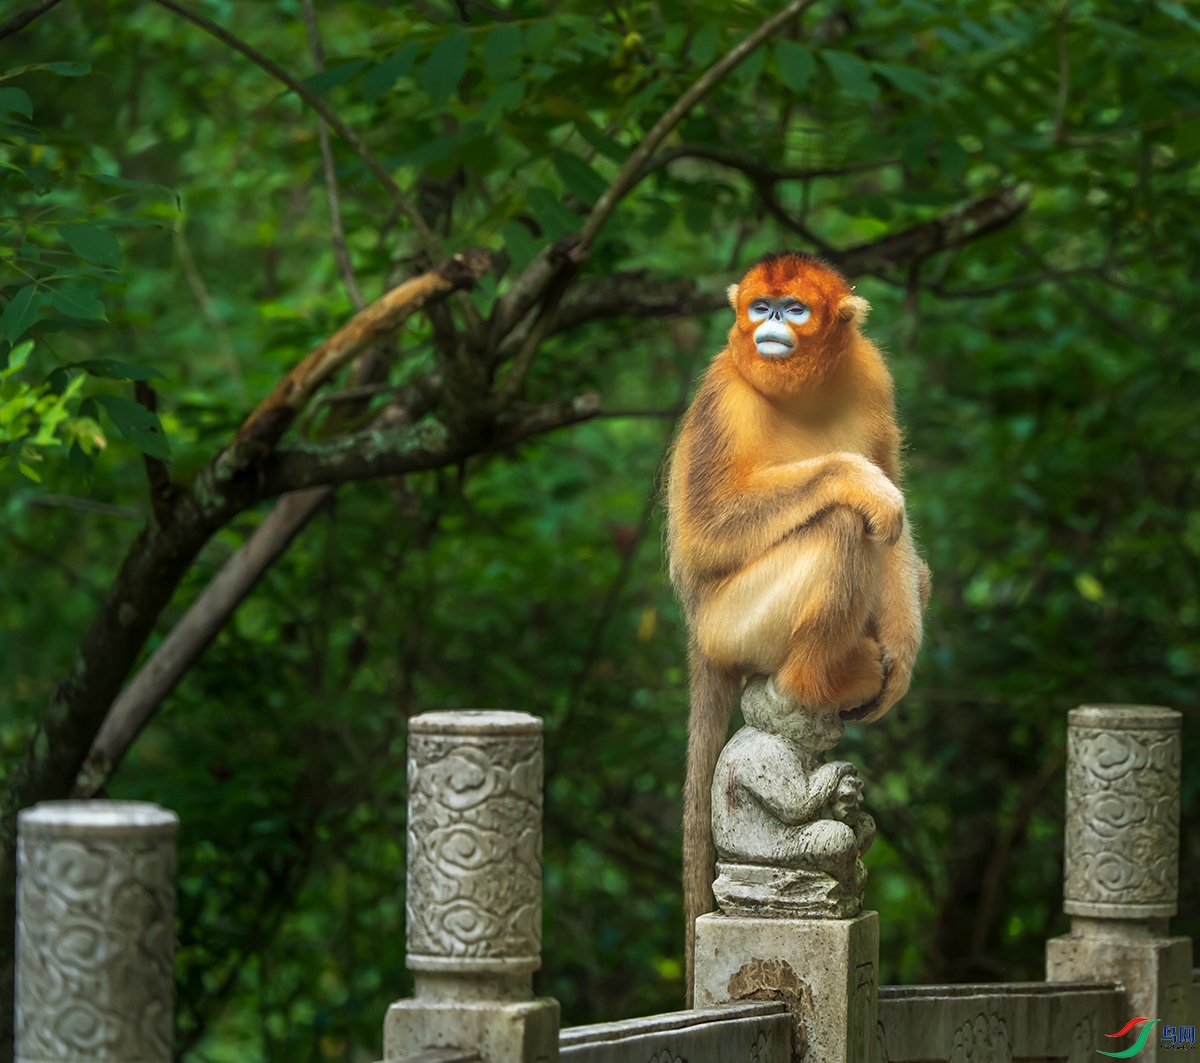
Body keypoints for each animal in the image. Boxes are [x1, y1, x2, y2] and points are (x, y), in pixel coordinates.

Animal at [667, 254, 926, 1003]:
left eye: (795, 308)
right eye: (761, 307)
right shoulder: (725, 391)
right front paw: (859, 480)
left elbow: (897, 520)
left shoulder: (872, 373)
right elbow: (706, 529)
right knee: (840, 521)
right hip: (734, 622)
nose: (771, 325)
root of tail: (699, 635)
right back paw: (821, 679)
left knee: (902, 562)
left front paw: (902, 663)